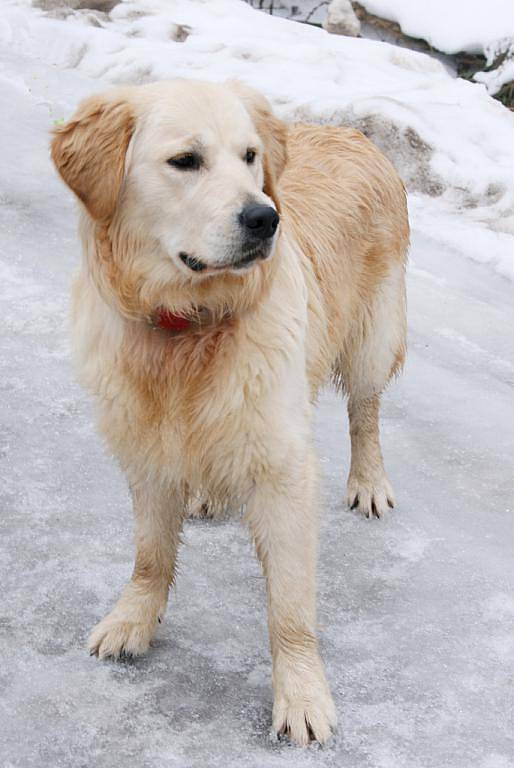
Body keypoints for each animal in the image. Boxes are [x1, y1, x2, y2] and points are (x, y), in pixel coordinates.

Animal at [49, 79, 408, 744]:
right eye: (185, 160)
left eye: (249, 157)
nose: (266, 218)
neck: (186, 326)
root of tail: (350, 131)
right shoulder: (146, 450)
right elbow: (150, 554)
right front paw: (134, 618)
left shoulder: (285, 466)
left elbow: (289, 606)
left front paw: (302, 694)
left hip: (374, 335)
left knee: (365, 410)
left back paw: (369, 481)